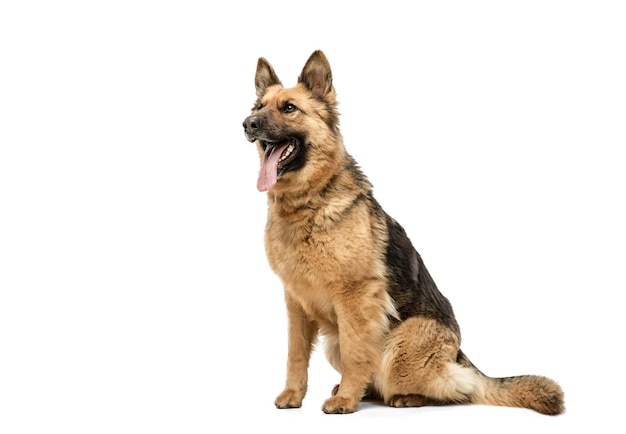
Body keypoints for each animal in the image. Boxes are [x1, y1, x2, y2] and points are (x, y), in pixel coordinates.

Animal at [241, 49, 564, 416]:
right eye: (259, 106)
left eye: (289, 108)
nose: (248, 124)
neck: (307, 202)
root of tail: (461, 356)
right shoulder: (295, 301)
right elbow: (295, 355)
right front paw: (293, 394)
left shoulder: (355, 296)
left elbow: (355, 352)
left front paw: (345, 401)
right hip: (338, 343)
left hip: (400, 346)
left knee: (458, 389)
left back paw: (404, 397)